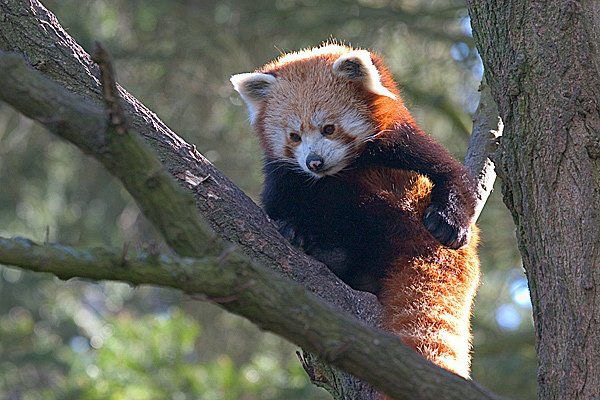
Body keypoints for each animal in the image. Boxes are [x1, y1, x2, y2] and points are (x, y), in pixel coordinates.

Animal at [230, 43, 478, 384]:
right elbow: (277, 204)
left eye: (329, 128)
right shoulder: (283, 176)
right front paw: (291, 228)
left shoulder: (402, 144)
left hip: (393, 213)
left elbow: (450, 174)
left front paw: (449, 221)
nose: (314, 162)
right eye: (294, 136)